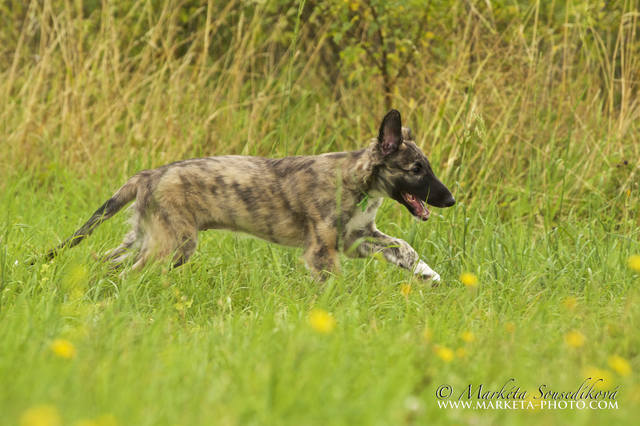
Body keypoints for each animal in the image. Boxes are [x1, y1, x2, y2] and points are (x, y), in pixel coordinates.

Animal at [42, 110, 456, 280]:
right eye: (416, 170)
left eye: (427, 166)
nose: (451, 201)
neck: (356, 181)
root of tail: (149, 174)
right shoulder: (321, 250)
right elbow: (335, 283)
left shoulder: (357, 238)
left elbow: (403, 247)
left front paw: (428, 274)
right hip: (173, 244)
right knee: (129, 272)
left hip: (148, 238)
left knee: (105, 261)